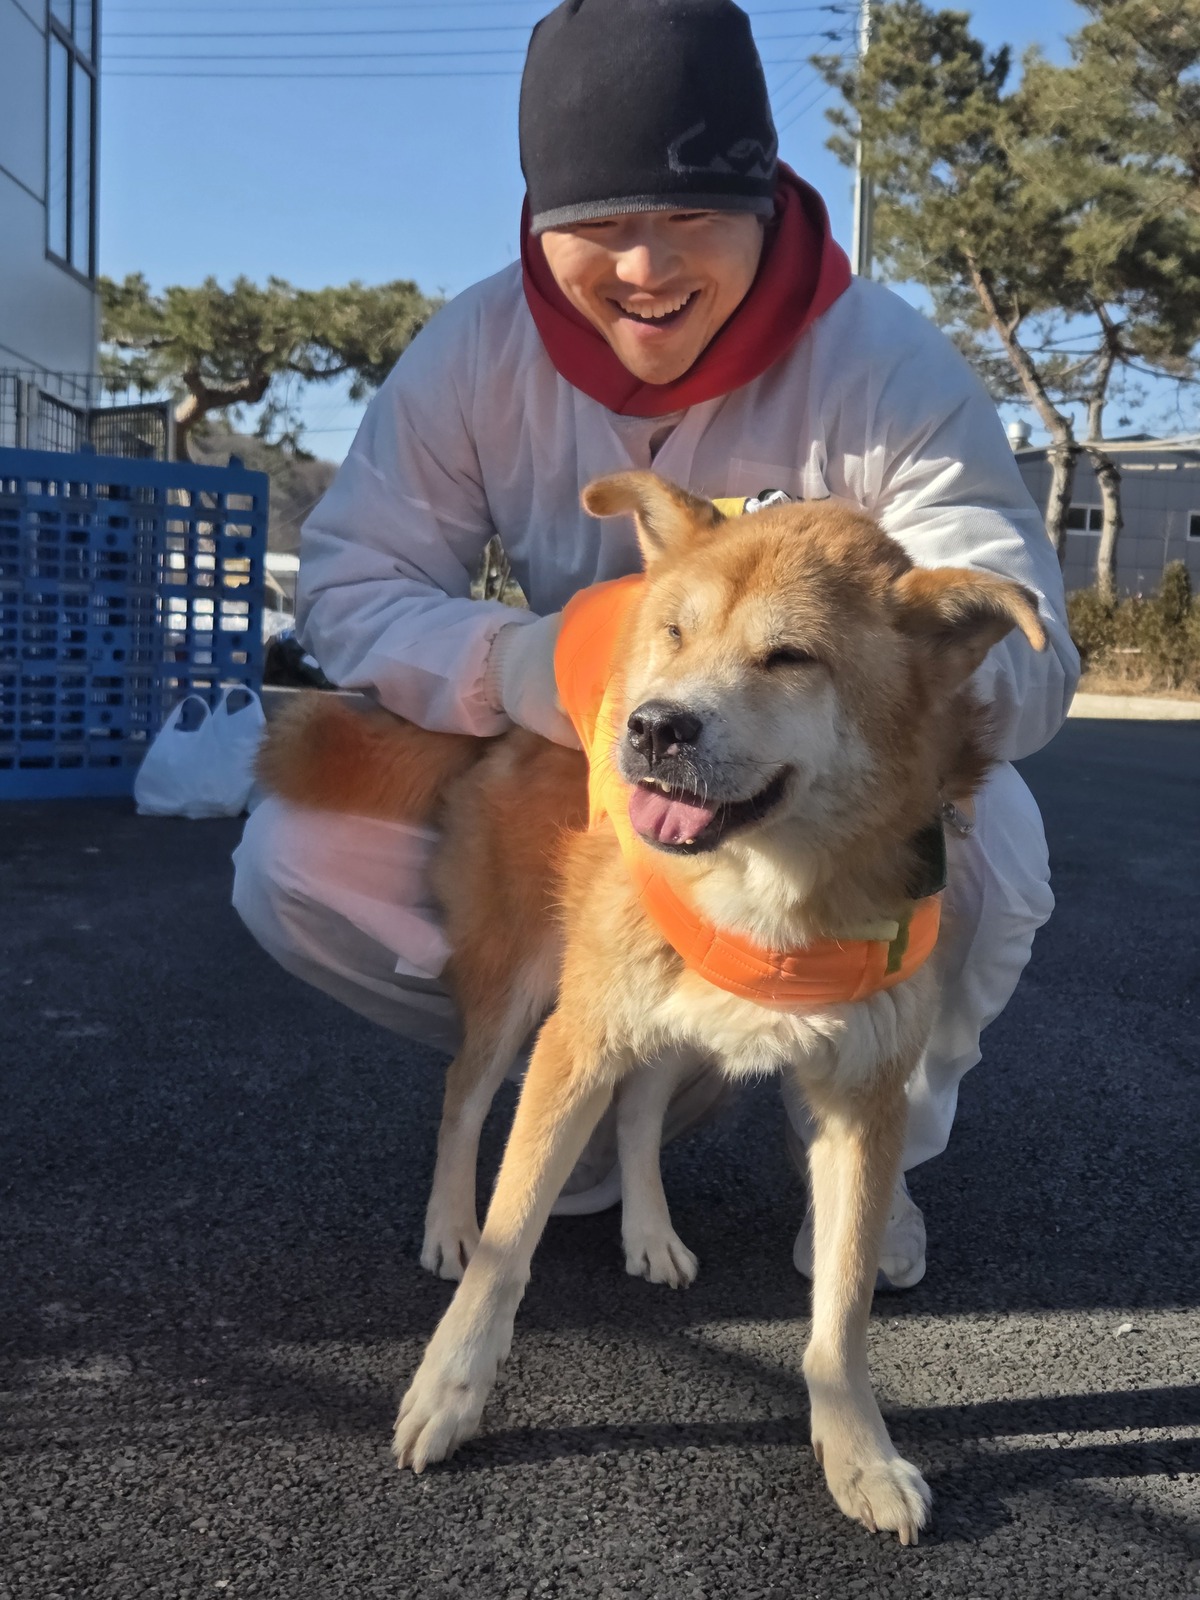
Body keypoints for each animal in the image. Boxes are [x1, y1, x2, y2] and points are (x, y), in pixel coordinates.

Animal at [259, 471, 1045, 1543]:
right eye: (674, 631)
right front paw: (450, 1391)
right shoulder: (576, 1039)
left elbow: (841, 1315)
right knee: (465, 1096)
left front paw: (860, 1454)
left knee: (636, 1113)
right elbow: (509, 1248)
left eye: (789, 656)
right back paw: (450, 1222)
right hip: (526, 982)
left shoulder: (865, 1100)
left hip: (673, 1019)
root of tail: (506, 731)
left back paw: (647, 1230)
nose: (654, 726)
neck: (771, 886)